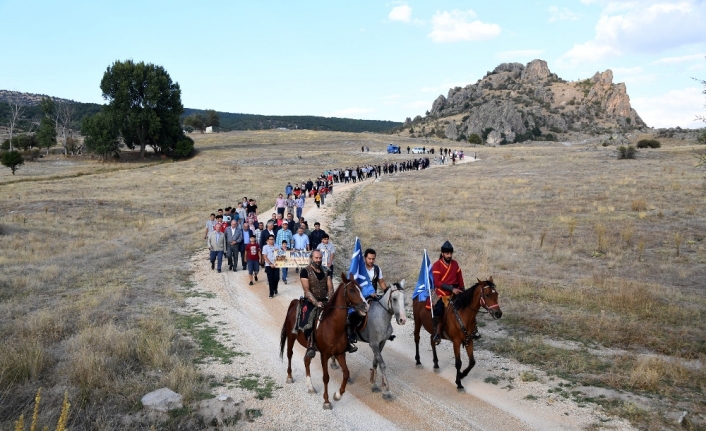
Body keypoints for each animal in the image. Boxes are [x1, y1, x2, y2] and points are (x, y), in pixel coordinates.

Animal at [280, 276, 368, 410]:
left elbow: (346, 373)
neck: (333, 326)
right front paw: (326, 401)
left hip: (309, 348)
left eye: (361, 289)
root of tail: (295, 303)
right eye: (352, 290)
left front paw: (337, 395)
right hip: (291, 337)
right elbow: (326, 377)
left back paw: (310, 387)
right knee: (290, 354)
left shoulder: (340, 353)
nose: (366, 306)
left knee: (306, 360)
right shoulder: (324, 355)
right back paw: (290, 377)